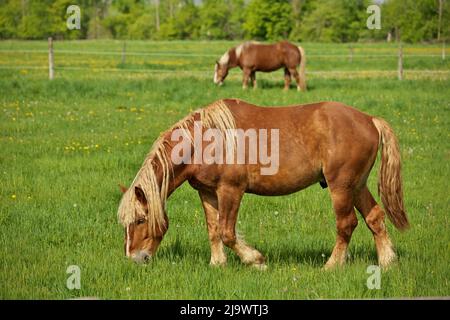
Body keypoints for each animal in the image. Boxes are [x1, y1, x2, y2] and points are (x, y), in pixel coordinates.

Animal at [118, 99, 410, 268]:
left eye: (141, 220)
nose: (135, 258)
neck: (204, 140)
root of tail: (369, 120)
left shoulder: (231, 190)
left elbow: (227, 232)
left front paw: (255, 260)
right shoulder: (207, 192)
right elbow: (213, 230)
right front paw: (217, 264)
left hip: (341, 186)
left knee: (347, 224)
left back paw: (332, 266)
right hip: (357, 185)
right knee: (375, 217)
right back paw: (387, 262)